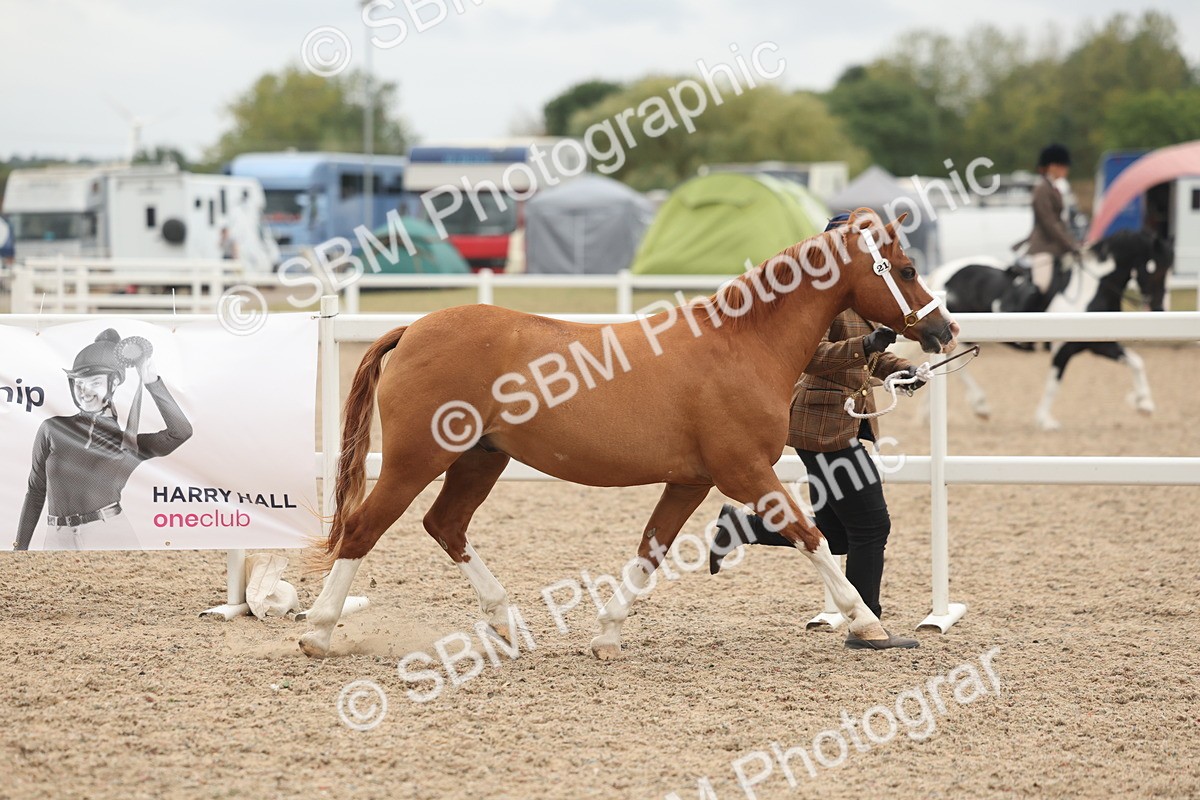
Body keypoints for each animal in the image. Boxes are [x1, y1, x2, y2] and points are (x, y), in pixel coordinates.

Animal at [297, 209, 959, 660]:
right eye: (906, 269)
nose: (944, 331)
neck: (741, 344)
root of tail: (412, 329)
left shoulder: (692, 481)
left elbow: (651, 550)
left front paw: (607, 634)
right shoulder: (745, 472)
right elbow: (811, 535)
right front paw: (865, 620)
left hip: (479, 460)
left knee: (446, 526)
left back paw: (508, 624)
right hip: (416, 460)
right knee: (363, 530)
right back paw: (319, 630)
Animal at [920, 229, 1172, 428]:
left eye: (1169, 270)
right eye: (1153, 269)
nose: (1160, 308)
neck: (1091, 291)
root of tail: (944, 271)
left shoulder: (1098, 344)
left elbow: (1135, 362)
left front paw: (1144, 403)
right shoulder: (1064, 349)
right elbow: (1054, 383)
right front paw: (1044, 420)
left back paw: (930, 413)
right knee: (956, 365)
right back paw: (979, 405)